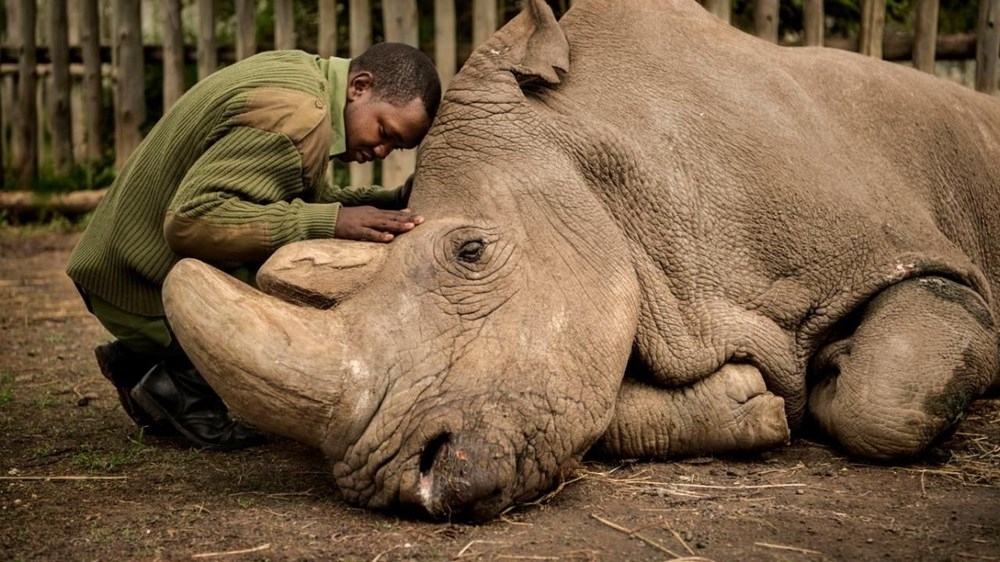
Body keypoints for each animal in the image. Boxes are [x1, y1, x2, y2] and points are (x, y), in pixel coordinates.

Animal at [160, 0, 1000, 520]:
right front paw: (752, 402)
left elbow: (883, 401)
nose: (403, 482)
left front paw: (832, 376)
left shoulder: (913, 256)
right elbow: (595, 400)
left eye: (471, 251)